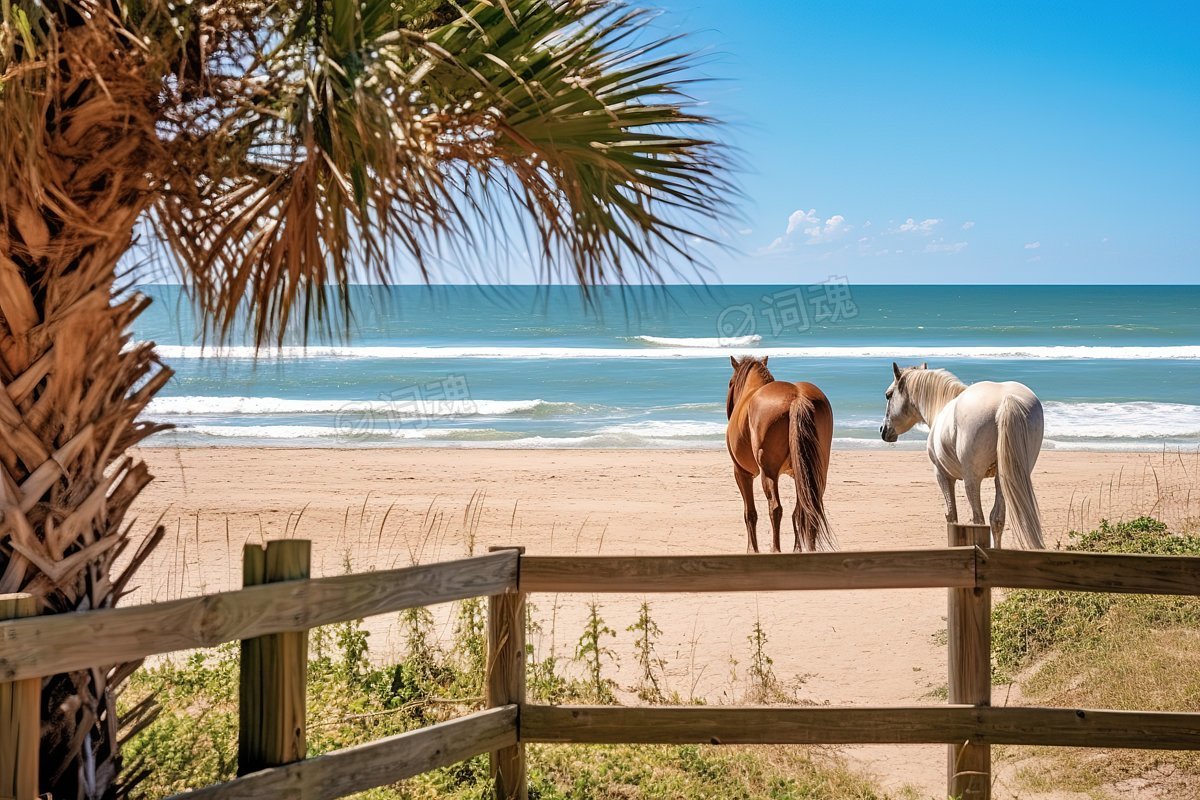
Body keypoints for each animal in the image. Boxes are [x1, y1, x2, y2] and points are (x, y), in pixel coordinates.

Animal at [720, 355, 835, 551]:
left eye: (730, 383)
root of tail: (797, 397)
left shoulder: (742, 473)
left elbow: (750, 513)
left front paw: (753, 550)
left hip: (769, 473)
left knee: (775, 508)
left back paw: (776, 549)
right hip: (815, 473)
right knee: (808, 508)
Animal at [883, 364, 1041, 546]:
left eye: (888, 395)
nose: (883, 430)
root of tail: (1006, 400)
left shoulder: (942, 476)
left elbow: (952, 517)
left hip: (972, 480)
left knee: (979, 519)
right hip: (1004, 478)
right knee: (996, 519)